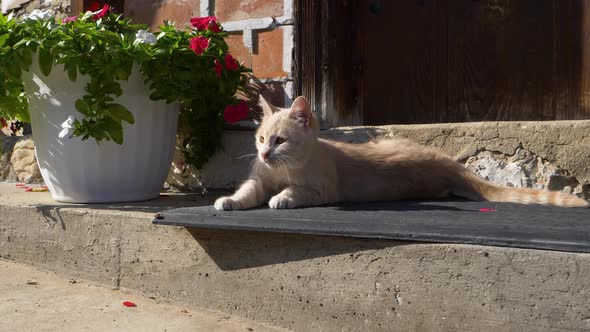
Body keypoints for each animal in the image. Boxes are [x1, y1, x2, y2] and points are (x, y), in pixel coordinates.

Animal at [215, 96, 588, 210]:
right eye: (261, 139)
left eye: (279, 141)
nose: (264, 154)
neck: (283, 169)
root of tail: (446, 162)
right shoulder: (259, 180)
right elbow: (248, 191)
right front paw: (229, 201)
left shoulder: (322, 189)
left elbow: (296, 191)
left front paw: (282, 197)